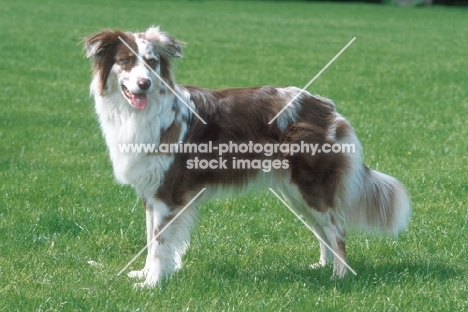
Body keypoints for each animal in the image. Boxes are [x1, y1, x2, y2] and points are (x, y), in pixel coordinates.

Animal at [84, 26, 410, 288]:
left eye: (151, 63)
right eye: (126, 61)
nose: (144, 84)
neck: (142, 113)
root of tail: (325, 105)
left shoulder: (168, 193)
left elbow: (161, 242)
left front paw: (152, 284)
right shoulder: (151, 193)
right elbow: (151, 241)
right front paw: (145, 274)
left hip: (311, 186)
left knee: (337, 230)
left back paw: (339, 277)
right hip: (294, 192)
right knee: (322, 230)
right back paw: (320, 267)